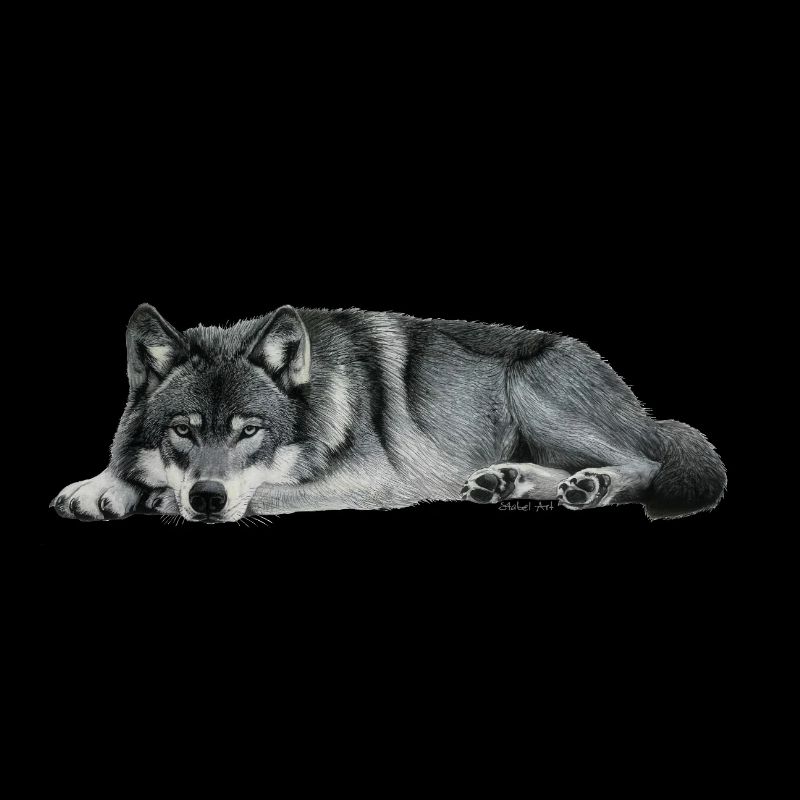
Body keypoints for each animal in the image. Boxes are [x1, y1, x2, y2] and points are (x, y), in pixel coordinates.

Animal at [51, 304, 726, 523]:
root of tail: (644, 409)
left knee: (645, 464)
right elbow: (126, 467)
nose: (208, 498)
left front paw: (157, 497)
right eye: (184, 430)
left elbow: (264, 490)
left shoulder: (373, 481)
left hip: (536, 392)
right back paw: (506, 481)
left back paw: (593, 485)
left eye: (250, 431)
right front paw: (101, 487)